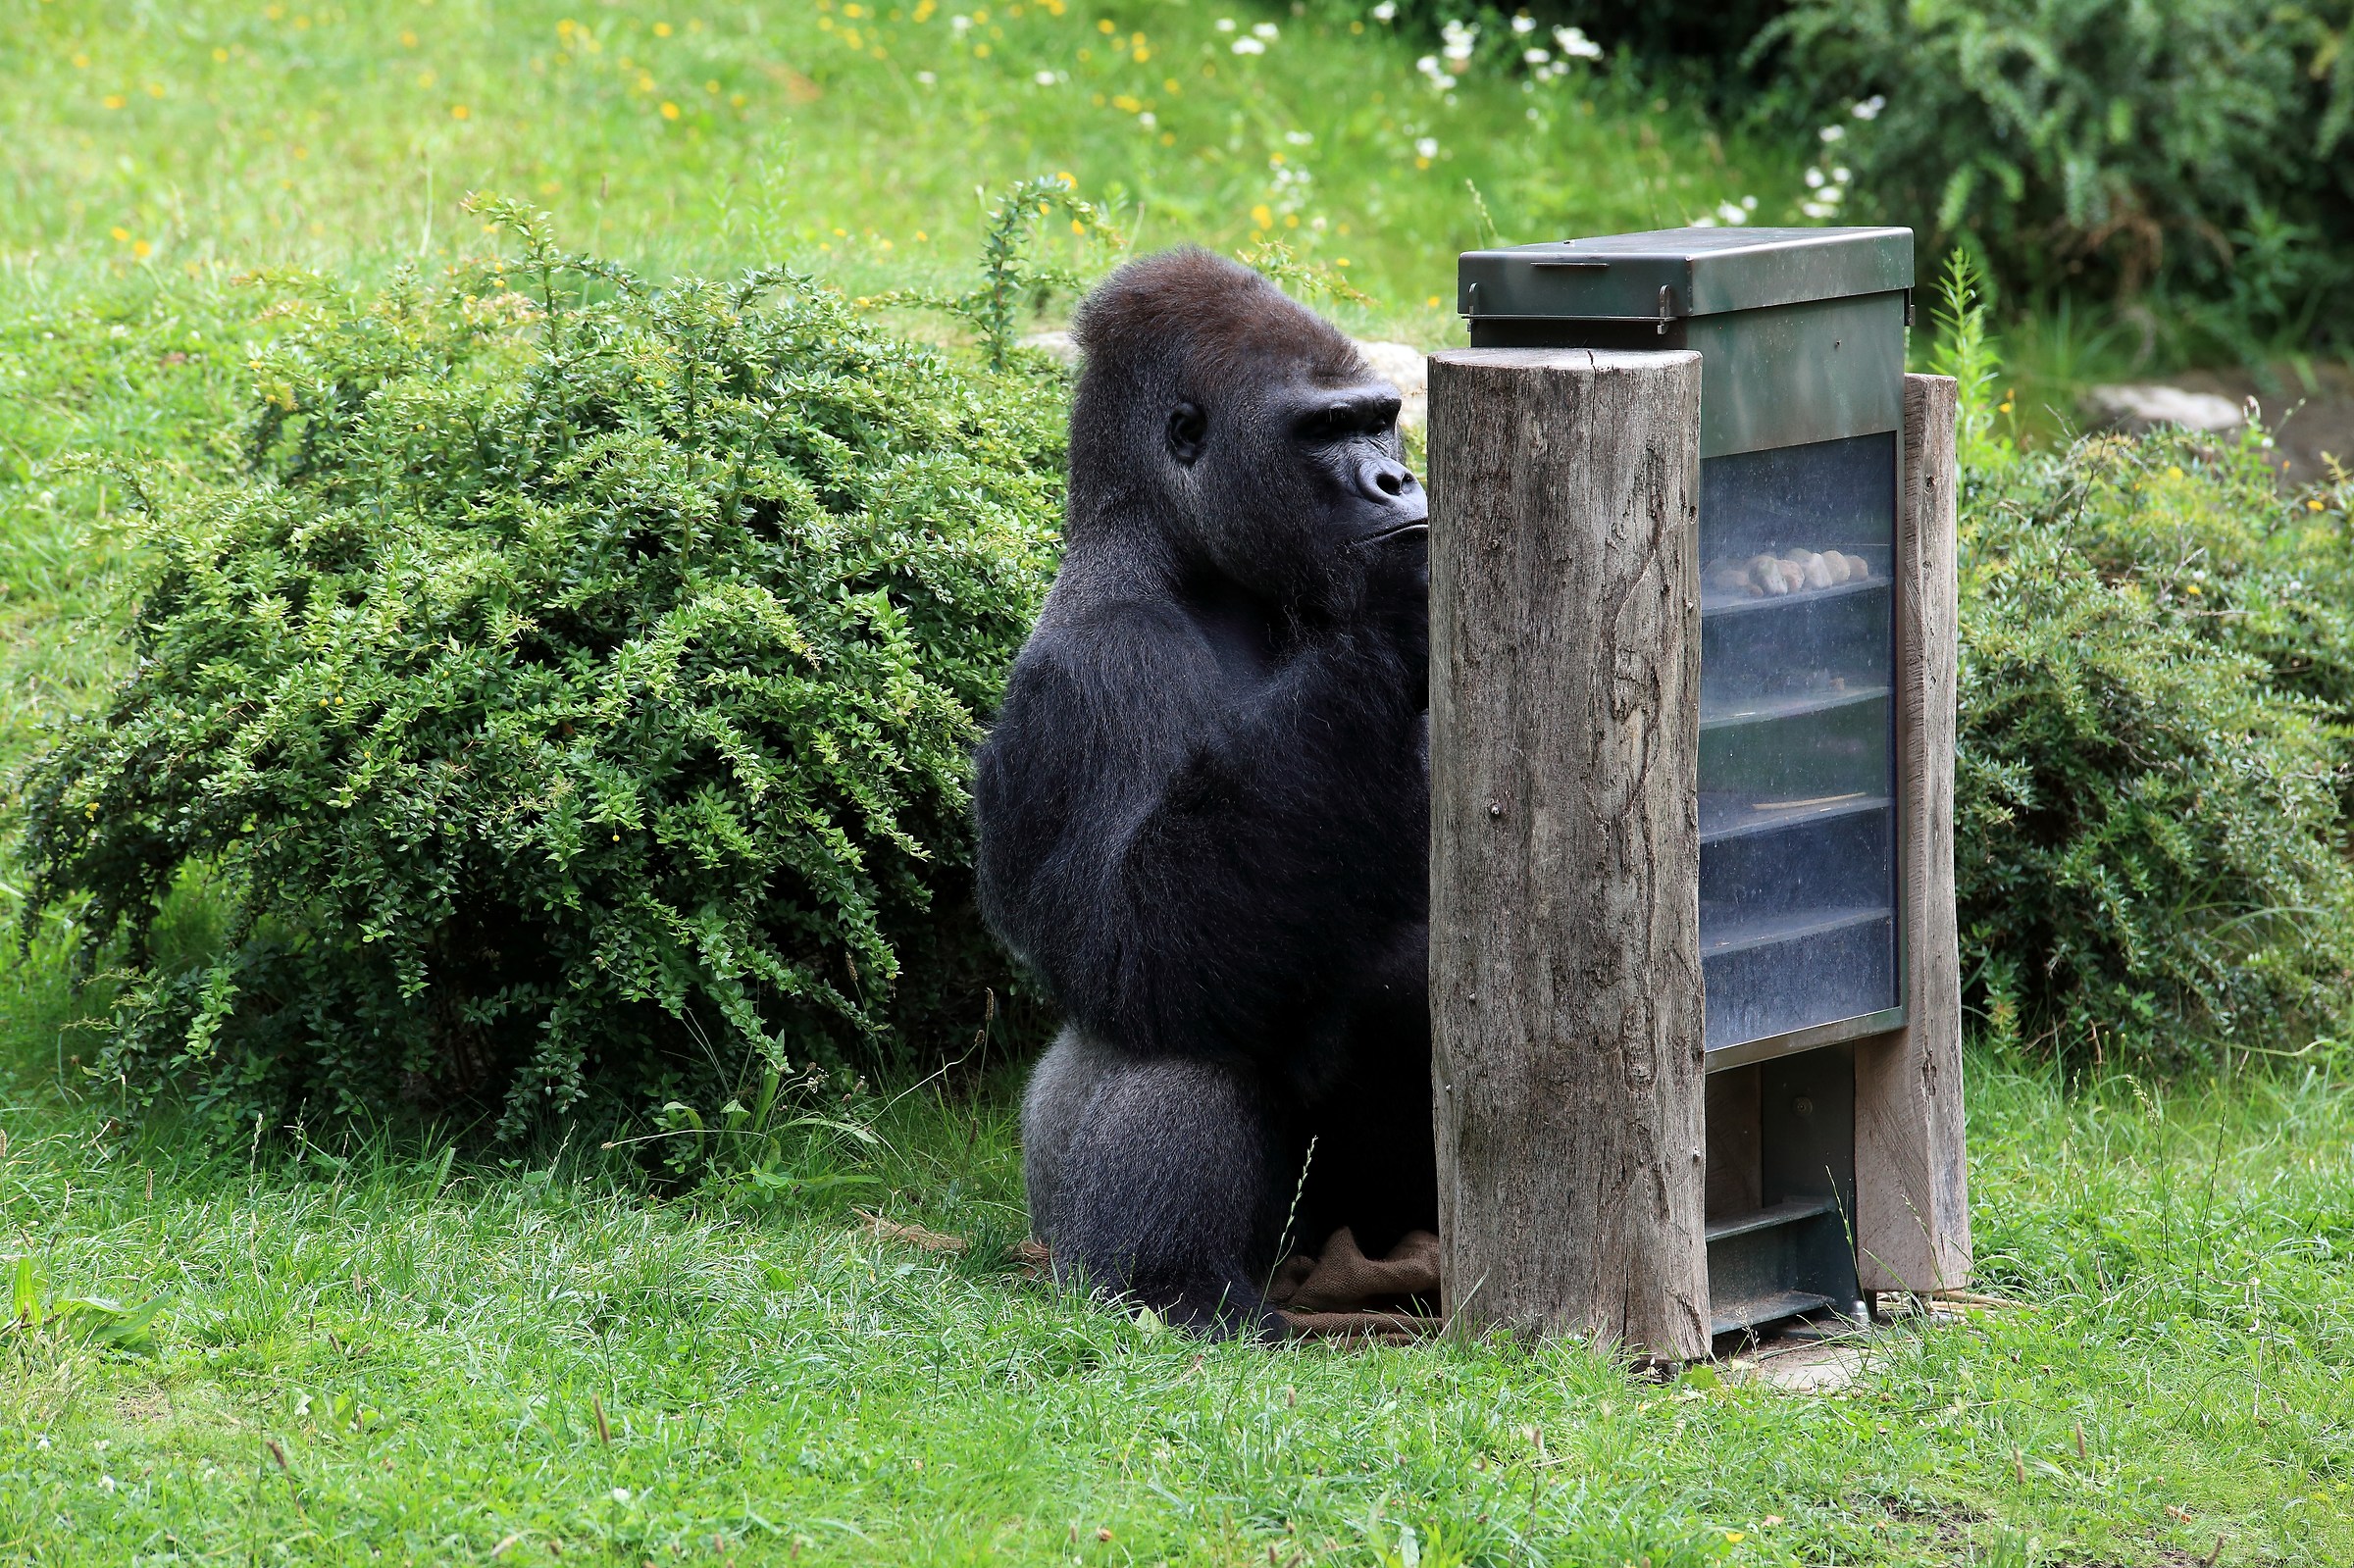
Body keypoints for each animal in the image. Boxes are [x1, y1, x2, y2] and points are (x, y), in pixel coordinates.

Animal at [972, 247, 1433, 1336]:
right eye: (1325, 430)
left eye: (1380, 417)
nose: (1397, 479)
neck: (1189, 564)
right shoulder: (1097, 669)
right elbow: (1137, 940)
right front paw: (1395, 614)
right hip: (1077, 1224)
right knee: (1173, 1027)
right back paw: (1175, 1283)